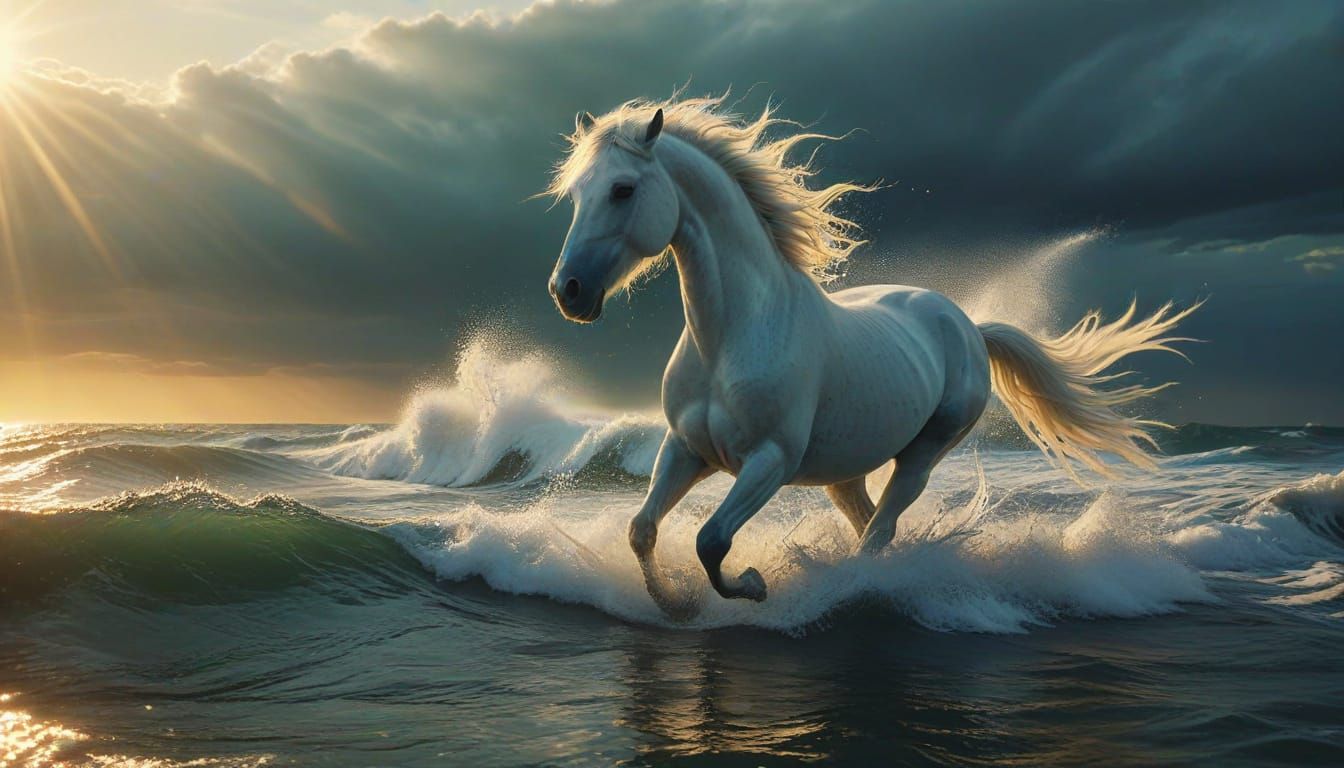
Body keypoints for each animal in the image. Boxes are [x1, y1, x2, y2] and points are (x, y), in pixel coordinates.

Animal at [544, 95, 1195, 620]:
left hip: (922, 455)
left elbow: (711, 541)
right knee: (871, 524)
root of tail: (967, 325)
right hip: (845, 471)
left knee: (879, 535)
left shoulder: (770, 460)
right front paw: (676, 604)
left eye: (623, 189)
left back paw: (856, 588)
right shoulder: (687, 450)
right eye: (576, 194)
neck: (732, 335)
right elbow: (642, 531)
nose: (567, 291)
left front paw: (754, 585)